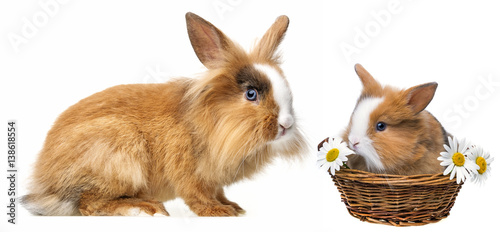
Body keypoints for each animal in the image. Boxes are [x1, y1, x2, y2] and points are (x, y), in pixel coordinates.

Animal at [22, 12, 304, 216]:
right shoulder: (188, 172)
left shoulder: (214, 180)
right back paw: (143, 208)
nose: (286, 124)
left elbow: (218, 191)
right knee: (89, 203)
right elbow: (197, 195)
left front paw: (234, 207)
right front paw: (219, 212)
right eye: (251, 94)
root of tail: (46, 181)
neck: (212, 122)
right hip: (119, 156)